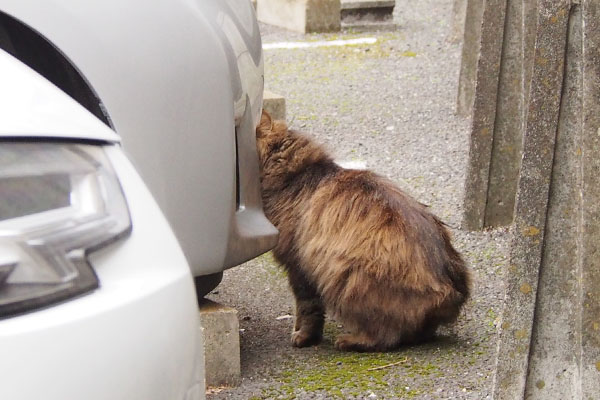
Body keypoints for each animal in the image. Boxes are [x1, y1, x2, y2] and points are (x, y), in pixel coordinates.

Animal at [255, 111, 472, 352]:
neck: (296, 176)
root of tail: (451, 288)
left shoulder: (299, 266)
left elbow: (307, 308)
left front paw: (303, 336)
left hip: (347, 274)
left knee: (387, 336)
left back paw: (350, 340)